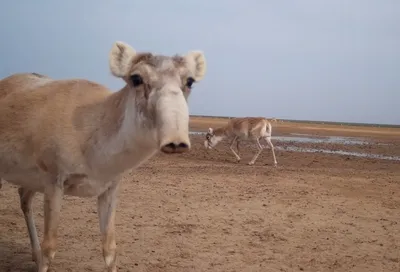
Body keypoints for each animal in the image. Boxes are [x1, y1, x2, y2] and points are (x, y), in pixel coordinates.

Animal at [0, 41, 206, 272]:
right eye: (136, 78)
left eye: (190, 80)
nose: (176, 141)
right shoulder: (54, 181)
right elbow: (49, 248)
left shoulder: (109, 187)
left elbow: (109, 249)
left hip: (31, 181)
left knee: (23, 198)